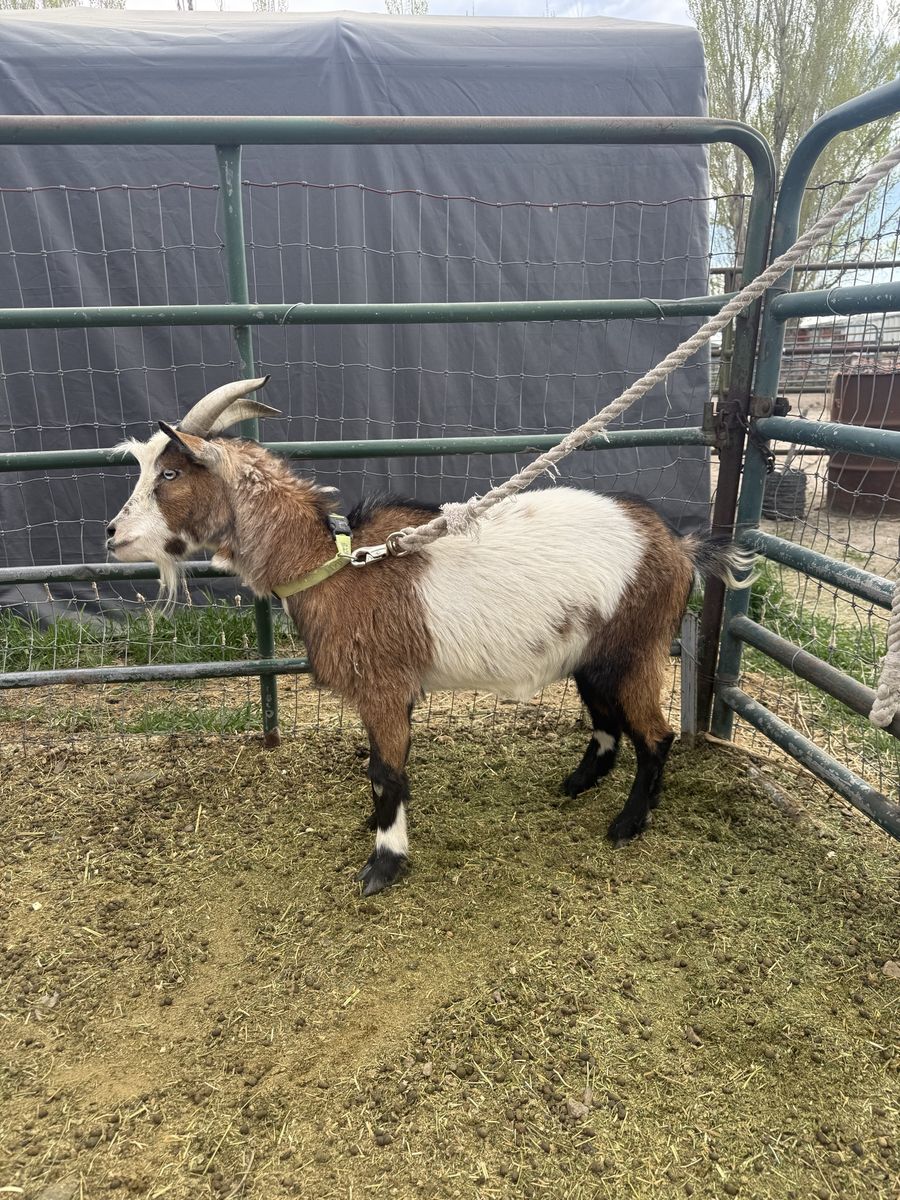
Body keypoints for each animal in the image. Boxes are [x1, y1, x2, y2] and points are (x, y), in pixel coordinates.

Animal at [107, 377, 754, 895]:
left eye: (169, 472)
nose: (112, 534)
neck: (334, 562)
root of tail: (680, 545)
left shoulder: (383, 686)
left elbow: (384, 772)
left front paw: (383, 865)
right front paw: (378, 829)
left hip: (637, 647)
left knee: (655, 735)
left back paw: (627, 824)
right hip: (593, 653)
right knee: (607, 722)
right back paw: (575, 784)